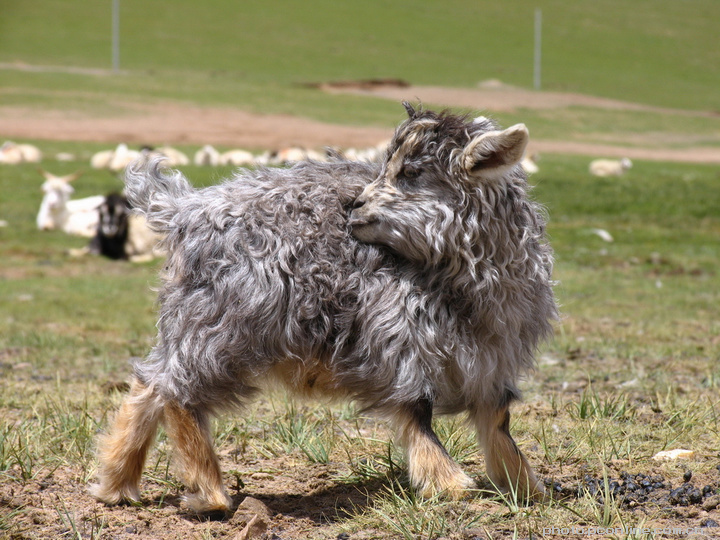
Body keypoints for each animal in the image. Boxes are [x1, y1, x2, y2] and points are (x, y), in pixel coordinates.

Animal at [91, 103, 556, 512]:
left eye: (411, 172)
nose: (353, 205)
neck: (461, 281)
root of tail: (184, 211)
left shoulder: (494, 355)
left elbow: (497, 420)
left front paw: (524, 485)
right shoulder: (399, 335)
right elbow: (418, 409)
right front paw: (449, 483)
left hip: (196, 319)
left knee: (149, 382)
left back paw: (116, 483)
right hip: (224, 320)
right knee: (176, 389)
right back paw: (209, 495)